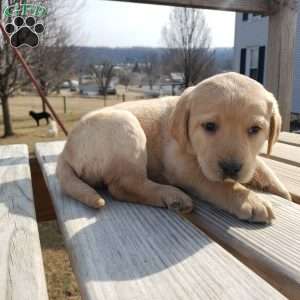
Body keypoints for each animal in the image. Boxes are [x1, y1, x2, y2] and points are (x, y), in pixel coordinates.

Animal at [56, 72, 290, 223]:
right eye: (209, 126)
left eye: (255, 129)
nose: (231, 168)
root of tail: (65, 151)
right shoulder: (183, 167)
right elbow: (220, 185)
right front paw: (249, 200)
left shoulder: (249, 158)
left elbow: (260, 166)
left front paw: (281, 190)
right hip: (124, 126)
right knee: (123, 185)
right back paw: (172, 196)